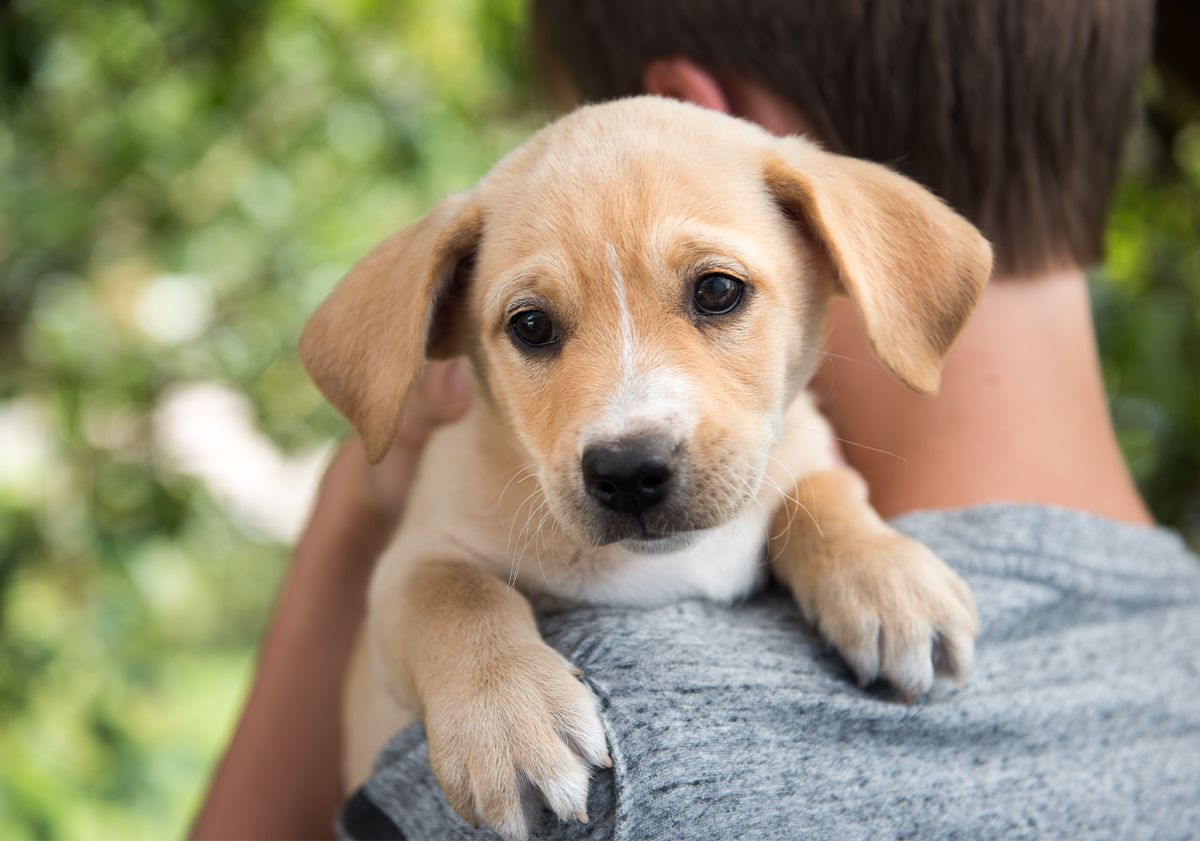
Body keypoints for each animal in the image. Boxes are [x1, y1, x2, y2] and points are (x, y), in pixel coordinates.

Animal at [302, 98, 993, 839]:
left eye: (717, 290)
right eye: (530, 326)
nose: (629, 471)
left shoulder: (801, 443)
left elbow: (821, 488)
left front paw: (888, 583)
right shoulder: (410, 561)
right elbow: (456, 595)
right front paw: (511, 721)